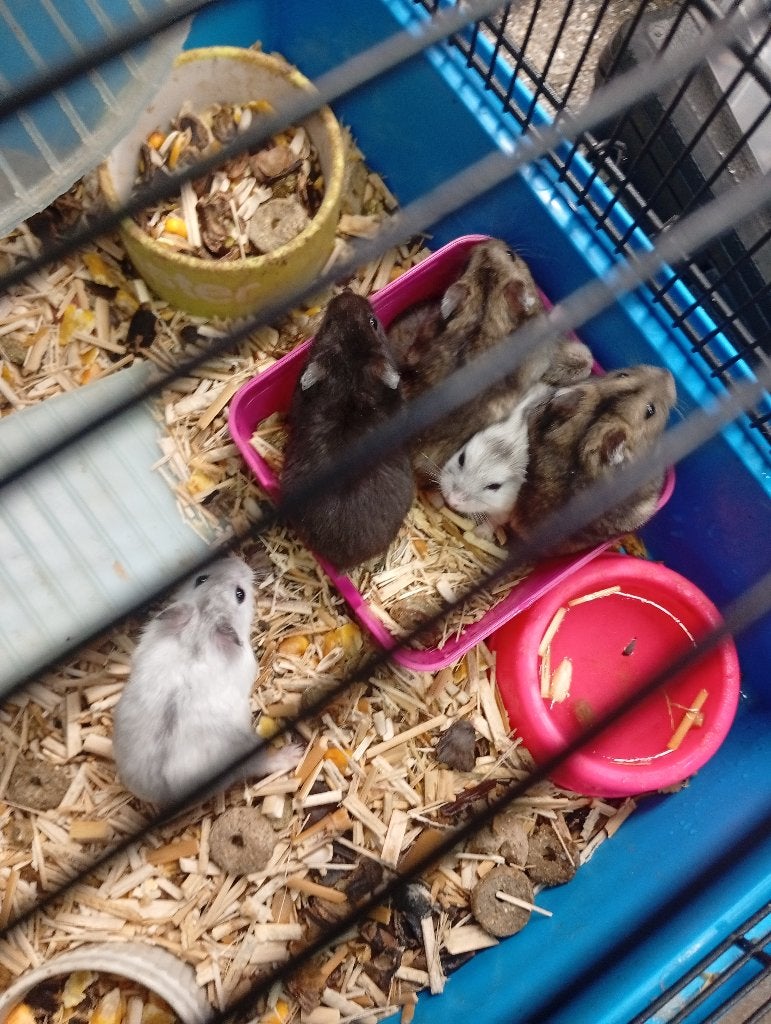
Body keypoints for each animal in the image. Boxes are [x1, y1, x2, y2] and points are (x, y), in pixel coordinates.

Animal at [112, 555, 302, 806]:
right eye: (240, 594)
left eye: (200, 578)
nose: (236, 559)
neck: (202, 624)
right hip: (247, 748)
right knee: (258, 767)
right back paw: (294, 753)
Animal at [439, 383, 552, 532]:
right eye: (461, 459)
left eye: (494, 486)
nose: (452, 500)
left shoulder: (506, 509)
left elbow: (495, 520)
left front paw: (480, 532)